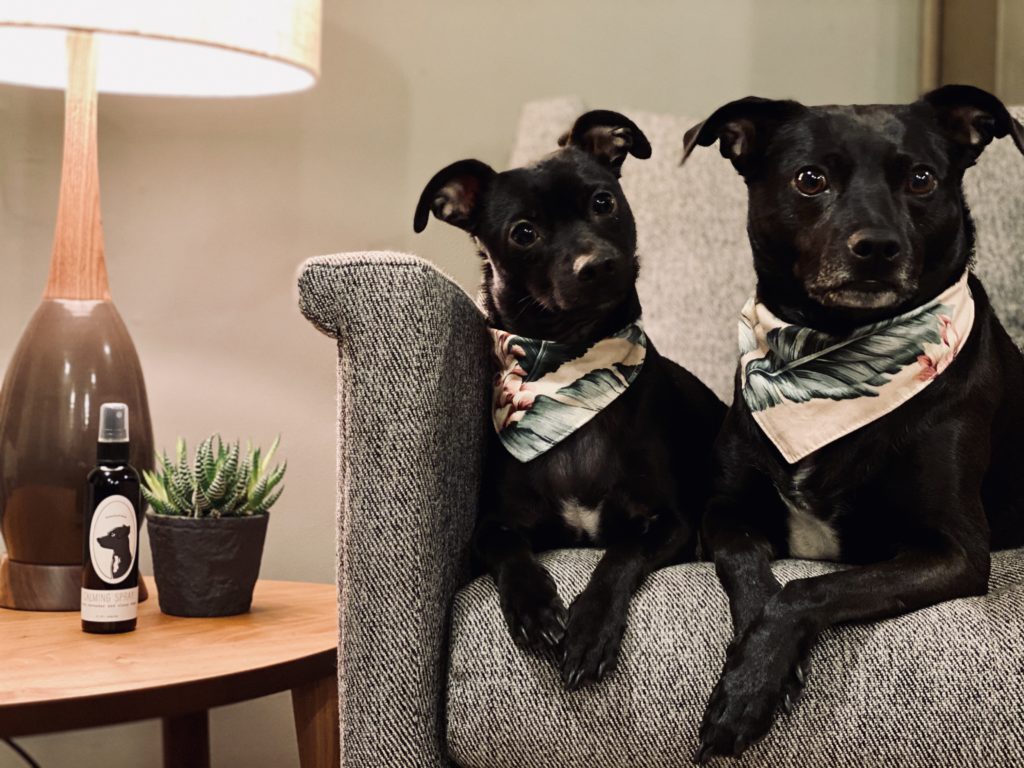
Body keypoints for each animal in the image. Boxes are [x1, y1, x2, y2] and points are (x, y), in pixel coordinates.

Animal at [411, 109, 724, 692]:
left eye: (603, 201)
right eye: (524, 233)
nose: (596, 265)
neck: (573, 373)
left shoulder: (670, 523)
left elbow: (621, 552)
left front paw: (588, 628)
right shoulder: (492, 526)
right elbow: (508, 549)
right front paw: (536, 610)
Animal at [679, 85, 1024, 765]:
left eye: (921, 178)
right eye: (810, 179)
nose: (878, 248)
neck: (833, 348)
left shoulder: (954, 550)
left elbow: (807, 590)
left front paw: (749, 685)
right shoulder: (724, 511)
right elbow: (752, 573)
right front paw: (754, 670)